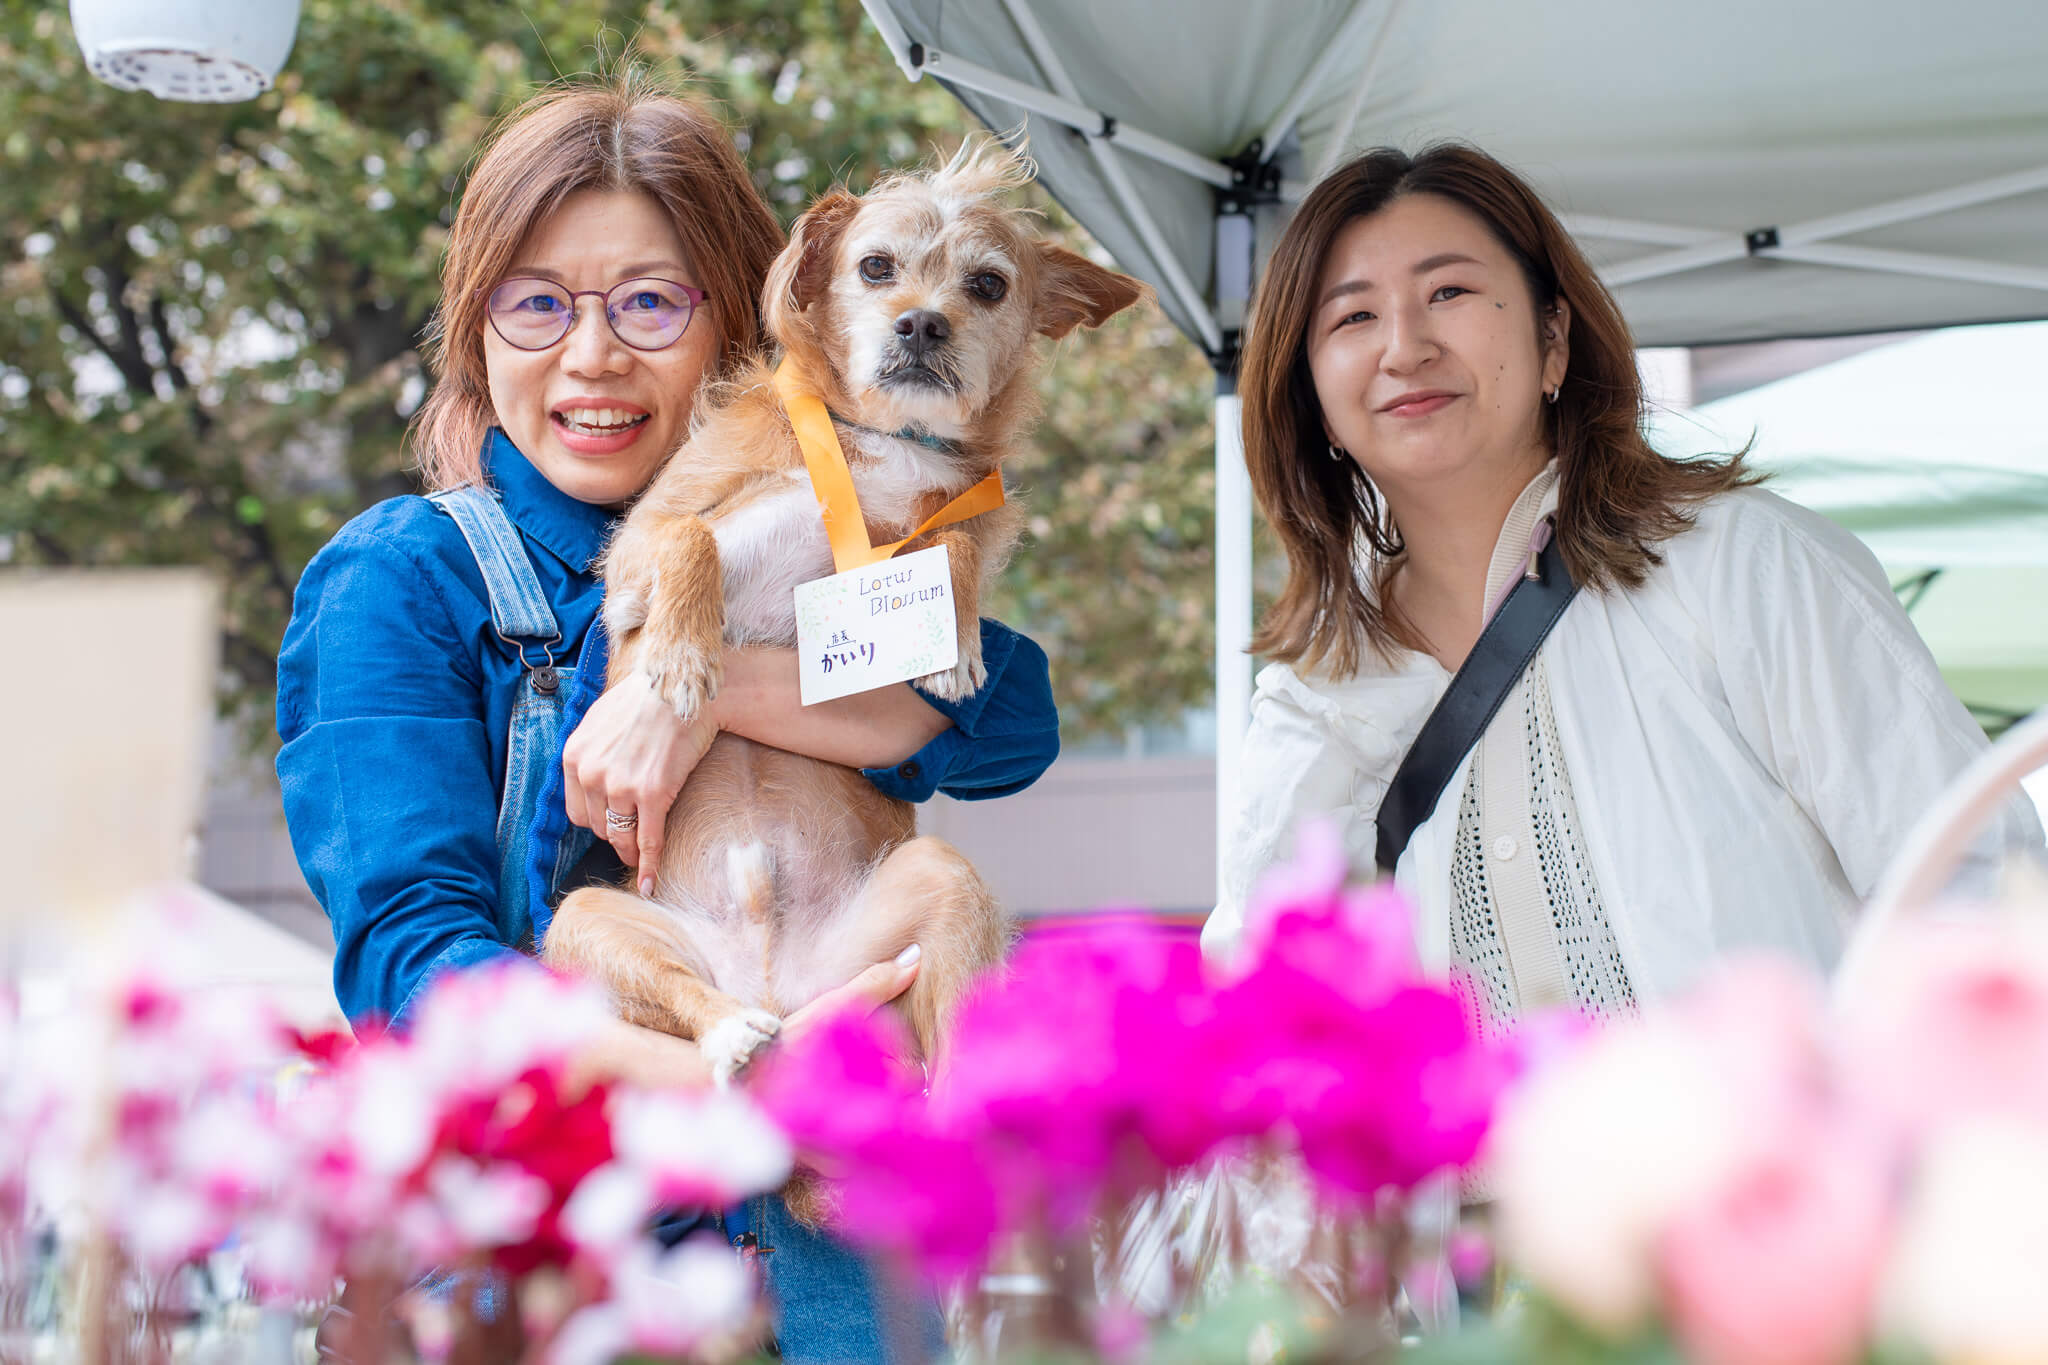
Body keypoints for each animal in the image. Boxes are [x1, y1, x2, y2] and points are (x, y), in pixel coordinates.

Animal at [544, 141, 1146, 1088]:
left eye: (988, 285)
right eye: (875, 267)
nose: (922, 325)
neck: (885, 439)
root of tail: (780, 983)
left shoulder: (951, 515)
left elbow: (956, 543)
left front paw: (957, 646)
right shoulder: (635, 552)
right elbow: (691, 534)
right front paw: (682, 658)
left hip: (939, 881)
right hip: (588, 924)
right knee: (687, 993)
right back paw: (731, 1030)